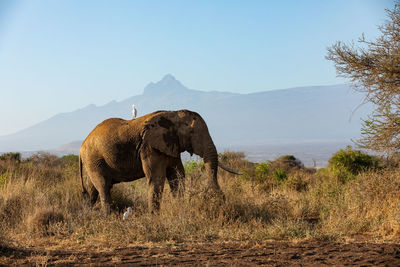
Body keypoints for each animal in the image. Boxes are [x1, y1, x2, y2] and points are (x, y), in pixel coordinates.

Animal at [79, 109, 241, 214]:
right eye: (192, 133)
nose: (221, 200)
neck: (173, 114)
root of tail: (81, 148)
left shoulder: (171, 146)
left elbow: (177, 177)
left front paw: (179, 211)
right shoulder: (149, 147)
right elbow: (156, 178)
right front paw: (154, 217)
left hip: (92, 162)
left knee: (91, 191)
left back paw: (86, 215)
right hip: (94, 160)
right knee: (103, 187)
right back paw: (109, 217)